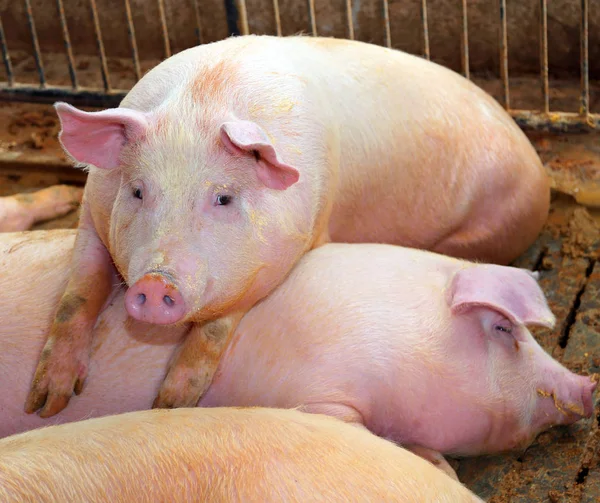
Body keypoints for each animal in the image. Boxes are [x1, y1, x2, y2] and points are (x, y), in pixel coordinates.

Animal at [23, 35, 552, 420]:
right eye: (136, 190)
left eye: (223, 198)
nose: (155, 285)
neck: (204, 99)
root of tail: (539, 173)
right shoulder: (93, 210)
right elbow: (78, 293)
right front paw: (46, 403)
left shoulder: (293, 245)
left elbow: (218, 326)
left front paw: (170, 405)